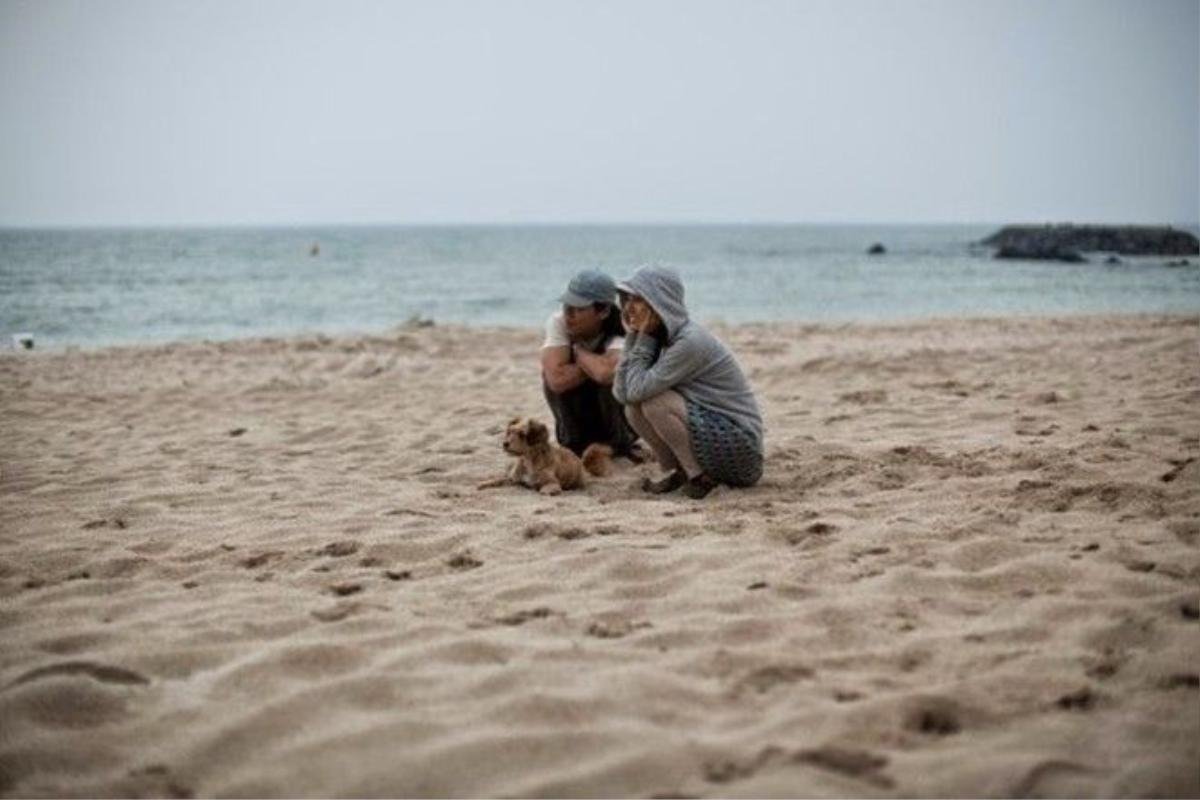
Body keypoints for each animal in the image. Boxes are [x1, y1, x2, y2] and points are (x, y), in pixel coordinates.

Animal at [475, 419, 609, 494]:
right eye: (509, 432)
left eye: (522, 434)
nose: (505, 444)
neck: (528, 460)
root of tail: (581, 462)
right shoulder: (513, 479)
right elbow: (499, 480)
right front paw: (485, 483)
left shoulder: (552, 482)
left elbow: (546, 488)